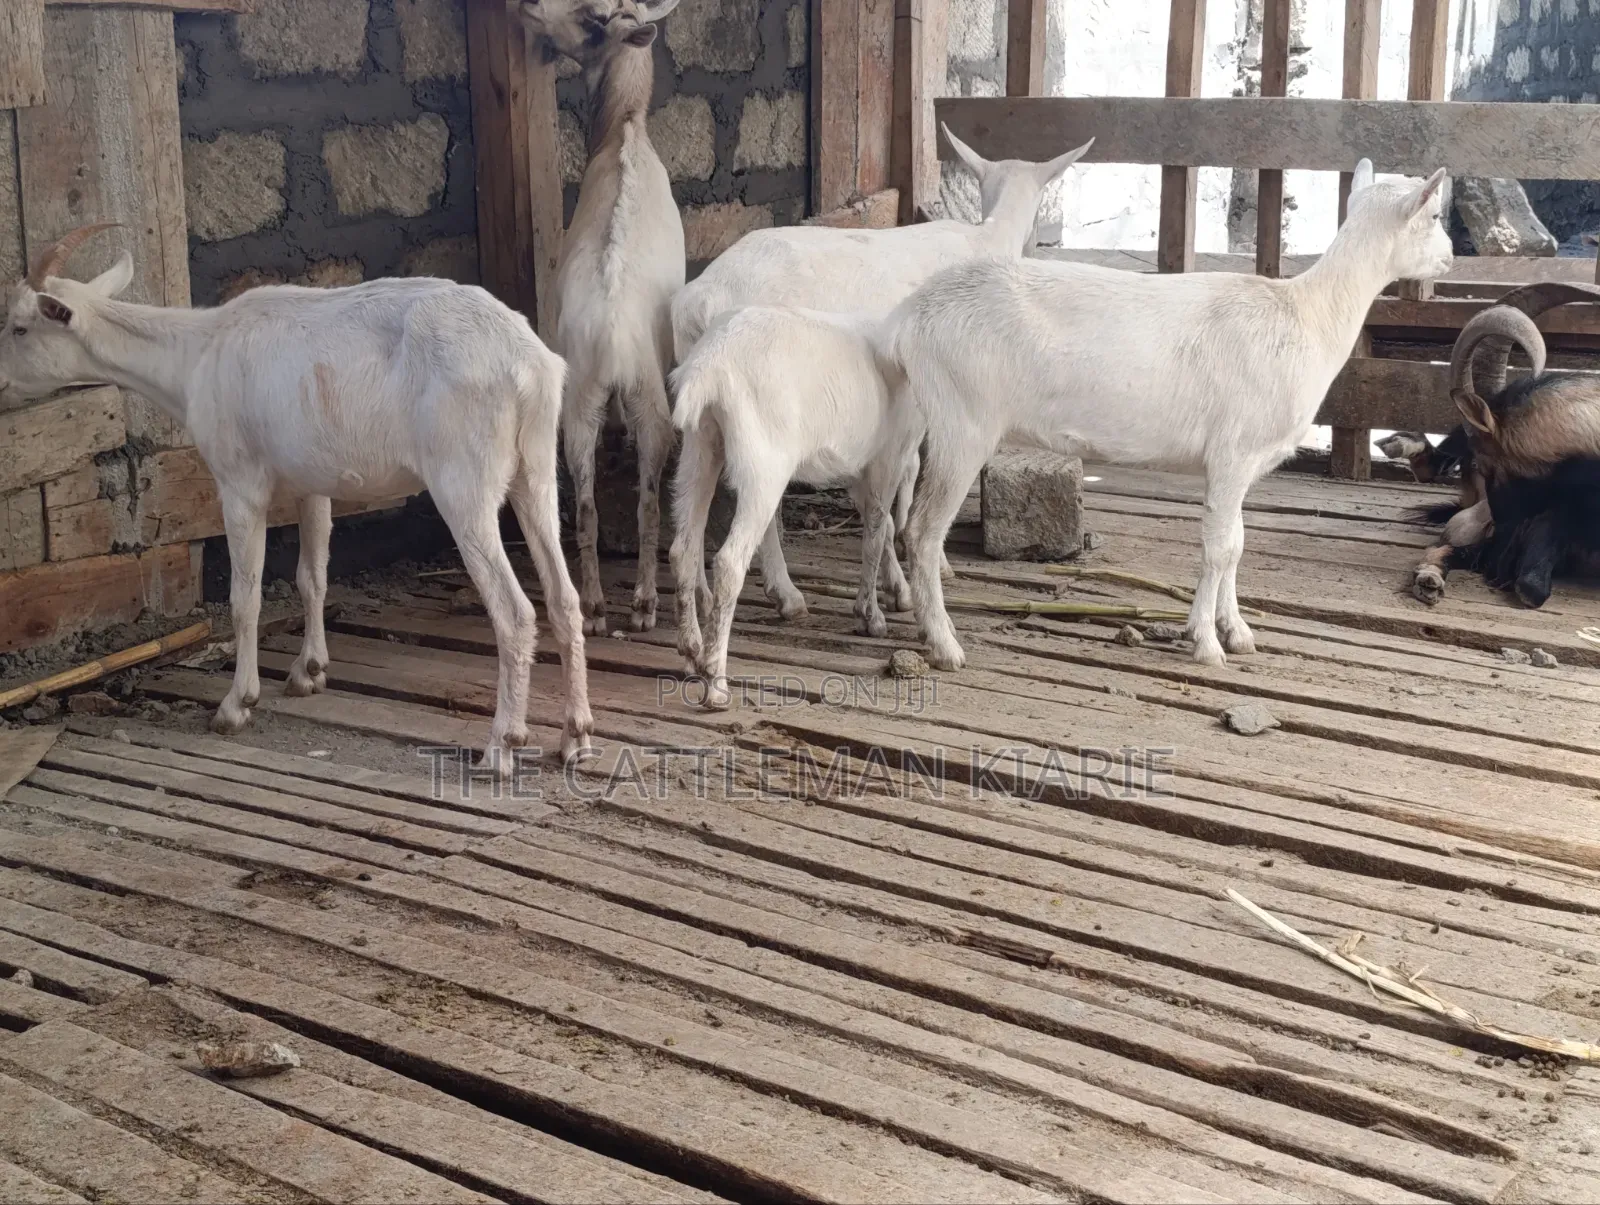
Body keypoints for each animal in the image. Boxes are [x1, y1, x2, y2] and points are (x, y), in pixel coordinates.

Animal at [0, 225, 593, 766]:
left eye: (19, 327)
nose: (1, 384)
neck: (196, 355)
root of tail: (531, 365)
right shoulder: (313, 481)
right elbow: (312, 577)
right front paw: (308, 671)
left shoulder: (239, 482)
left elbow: (245, 598)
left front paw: (236, 704)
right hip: (536, 470)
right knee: (564, 597)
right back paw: (576, 738)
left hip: (464, 481)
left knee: (515, 611)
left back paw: (502, 743)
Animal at [516, 0, 684, 638]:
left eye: (593, 18)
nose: (529, 11)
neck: (624, 129)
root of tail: (612, 339)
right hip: (641, 399)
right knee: (646, 502)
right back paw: (639, 603)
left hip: (581, 403)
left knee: (587, 507)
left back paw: (593, 606)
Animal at [668, 127, 1093, 622]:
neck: (985, 238)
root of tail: (700, 298)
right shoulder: (925, 399)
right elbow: (910, 473)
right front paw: (912, 574)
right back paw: (785, 592)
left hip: (701, 410)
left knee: (698, 497)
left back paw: (700, 594)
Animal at [668, 307, 917, 708]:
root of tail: (709, 366)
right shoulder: (887, 456)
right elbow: (878, 529)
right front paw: (871, 615)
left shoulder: (860, 467)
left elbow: (875, 522)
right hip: (763, 457)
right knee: (729, 562)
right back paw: (716, 681)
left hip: (700, 445)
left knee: (681, 549)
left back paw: (691, 650)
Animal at [873, 159, 1453, 670]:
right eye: (1435, 215)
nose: (1449, 257)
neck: (1308, 316)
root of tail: (909, 318)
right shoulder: (1233, 451)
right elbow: (1218, 549)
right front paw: (1206, 643)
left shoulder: (1240, 464)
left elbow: (1237, 545)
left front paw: (1237, 631)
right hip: (964, 419)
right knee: (922, 530)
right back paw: (943, 643)